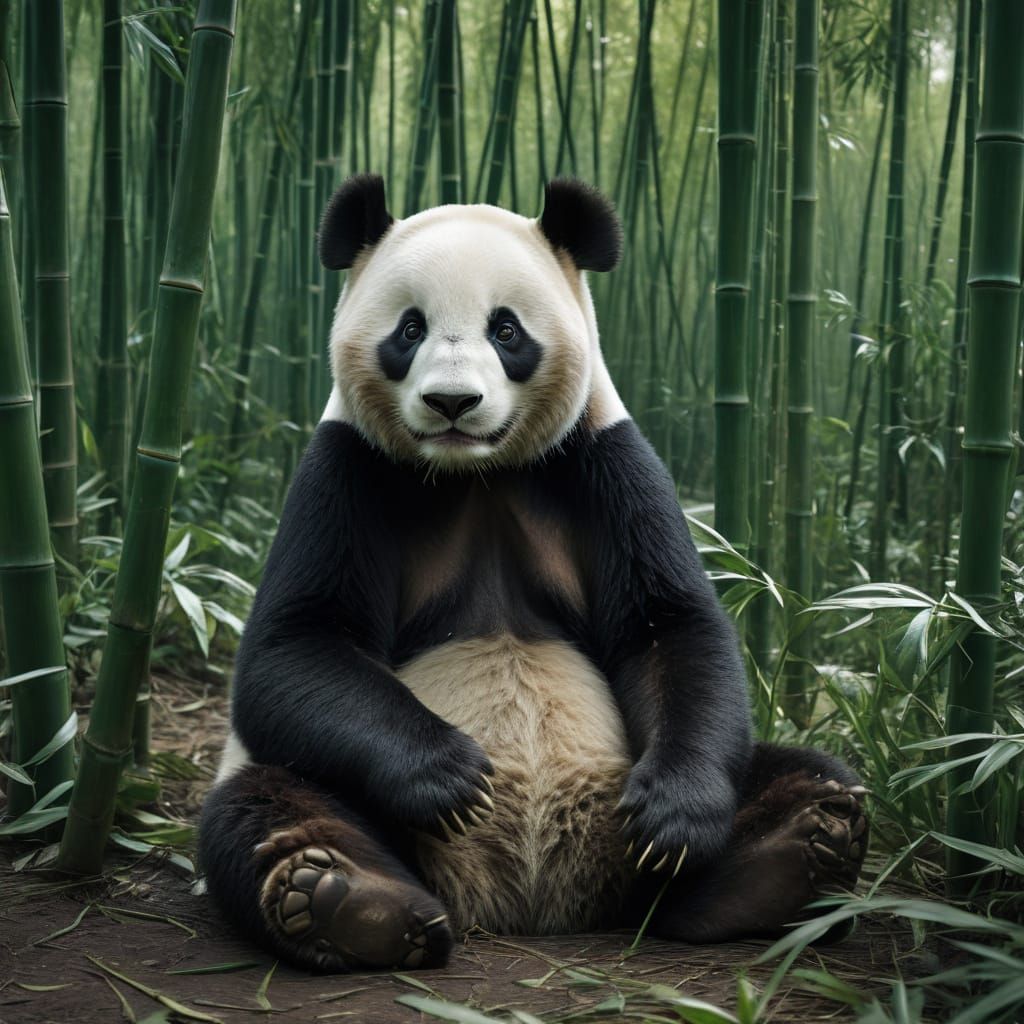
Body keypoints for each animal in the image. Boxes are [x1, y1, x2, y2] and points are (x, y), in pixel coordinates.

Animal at [199, 175, 868, 972]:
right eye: (410, 330)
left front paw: (673, 820)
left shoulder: (603, 460)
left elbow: (669, 628)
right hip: (335, 789)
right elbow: (291, 647)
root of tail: (532, 901)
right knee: (264, 799)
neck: (474, 473)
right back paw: (341, 899)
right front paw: (454, 777)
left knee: (811, 771)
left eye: (506, 331)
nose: (452, 402)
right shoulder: (347, 467)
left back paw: (794, 853)